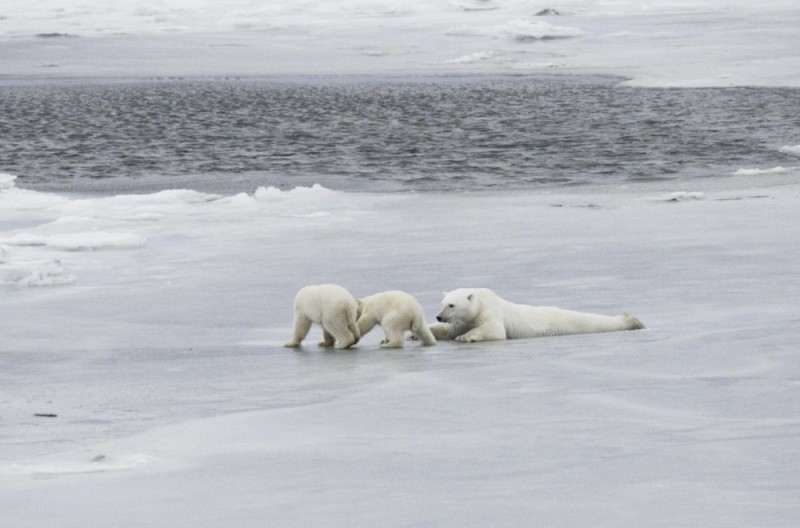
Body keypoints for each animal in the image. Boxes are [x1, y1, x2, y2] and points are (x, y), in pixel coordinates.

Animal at [432, 288, 644, 342]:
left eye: (451, 305)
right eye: (441, 303)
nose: (439, 316)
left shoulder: (490, 312)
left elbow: (494, 330)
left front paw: (465, 338)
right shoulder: (461, 321)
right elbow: (447, 330)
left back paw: (632, 321)